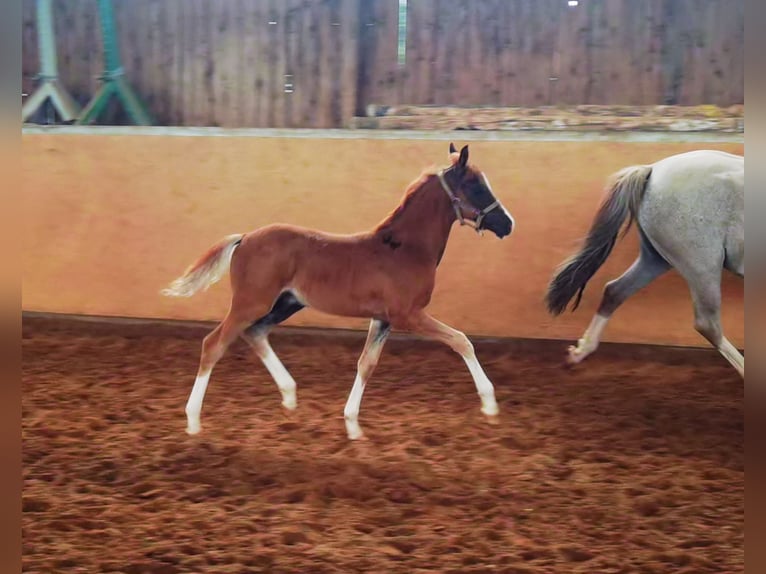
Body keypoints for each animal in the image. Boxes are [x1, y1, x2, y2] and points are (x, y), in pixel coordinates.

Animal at [166, 145, 520, 440]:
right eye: (476, 186)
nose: (508, 224)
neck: (404, 249)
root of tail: (245, 238)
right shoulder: (408, 315)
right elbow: (461, 340)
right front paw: (490, 405)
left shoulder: (382, 319)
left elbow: (366, 363)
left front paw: (352, 424)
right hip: (250, 303)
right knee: (214, 344)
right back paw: (193, 421)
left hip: (285, 304)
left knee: (255, 334)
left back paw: (290, 396)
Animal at [548, 151, 748, 380]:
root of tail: (652, 169)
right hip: (702, 264)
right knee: (707, 323)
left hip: (655, 259)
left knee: (615, 291)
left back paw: (578, 353)